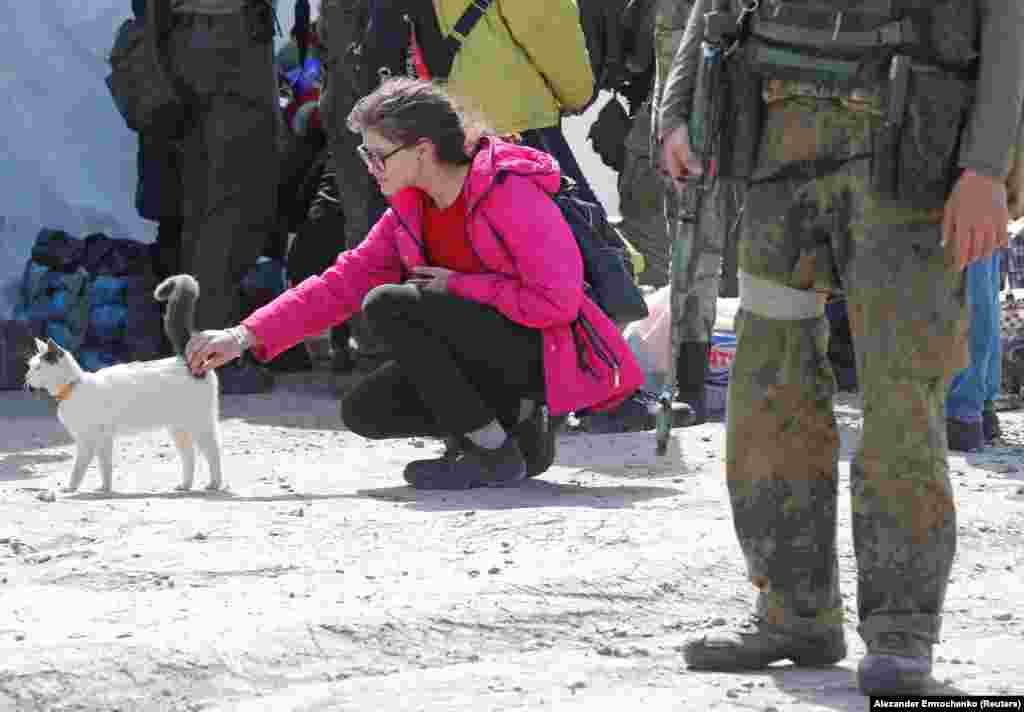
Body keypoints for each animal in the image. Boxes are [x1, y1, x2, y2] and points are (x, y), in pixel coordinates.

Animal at [24, 276, 223, 493]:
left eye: (37, 368)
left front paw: (70, 488)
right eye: (30, 366)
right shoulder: (103, 439)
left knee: (213, 453)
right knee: (189, 456)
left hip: (200, 424)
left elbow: (78, 469)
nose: (26, 379)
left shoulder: (87, 440)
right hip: (178, 428)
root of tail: (186, 359)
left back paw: (214, 484)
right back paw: (184, 485)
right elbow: (105, 466)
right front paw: (104, 489)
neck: (73, 386)